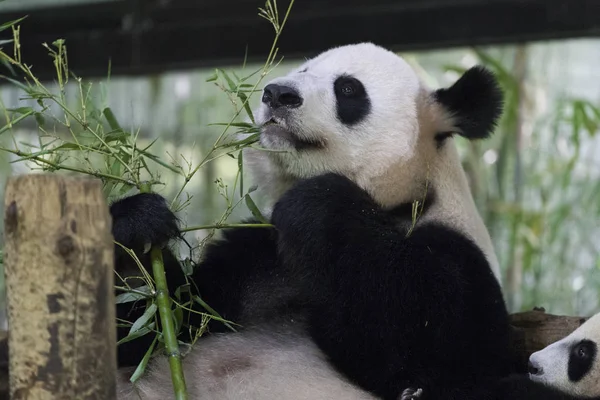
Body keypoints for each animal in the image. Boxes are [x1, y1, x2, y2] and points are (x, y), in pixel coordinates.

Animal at [111, 42, 584, 398]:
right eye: (302, 69)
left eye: (348, 88)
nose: (277, 94)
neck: (396, 201)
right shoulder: (256, 257)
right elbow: (163, 323)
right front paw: (138, 227)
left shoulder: (459, 253)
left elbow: (439, 351)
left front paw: (319, 201)